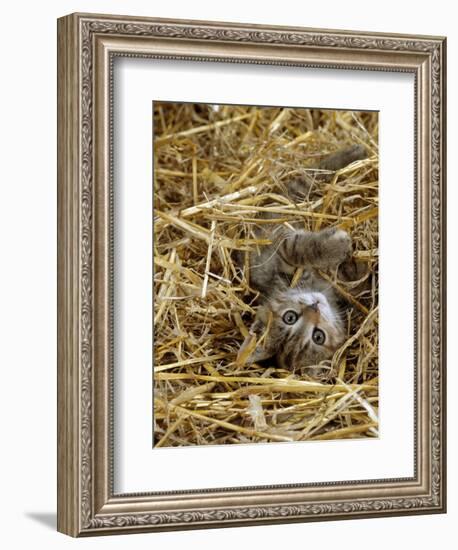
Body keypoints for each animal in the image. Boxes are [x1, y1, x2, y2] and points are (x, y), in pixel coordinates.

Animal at [238, 144, 366, 376]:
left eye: (289, 317)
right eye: (318, 337)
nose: (313, 308)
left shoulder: (281, 255)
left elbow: (296, 249)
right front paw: (342, 248)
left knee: (313, 175)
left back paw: (354, 153)